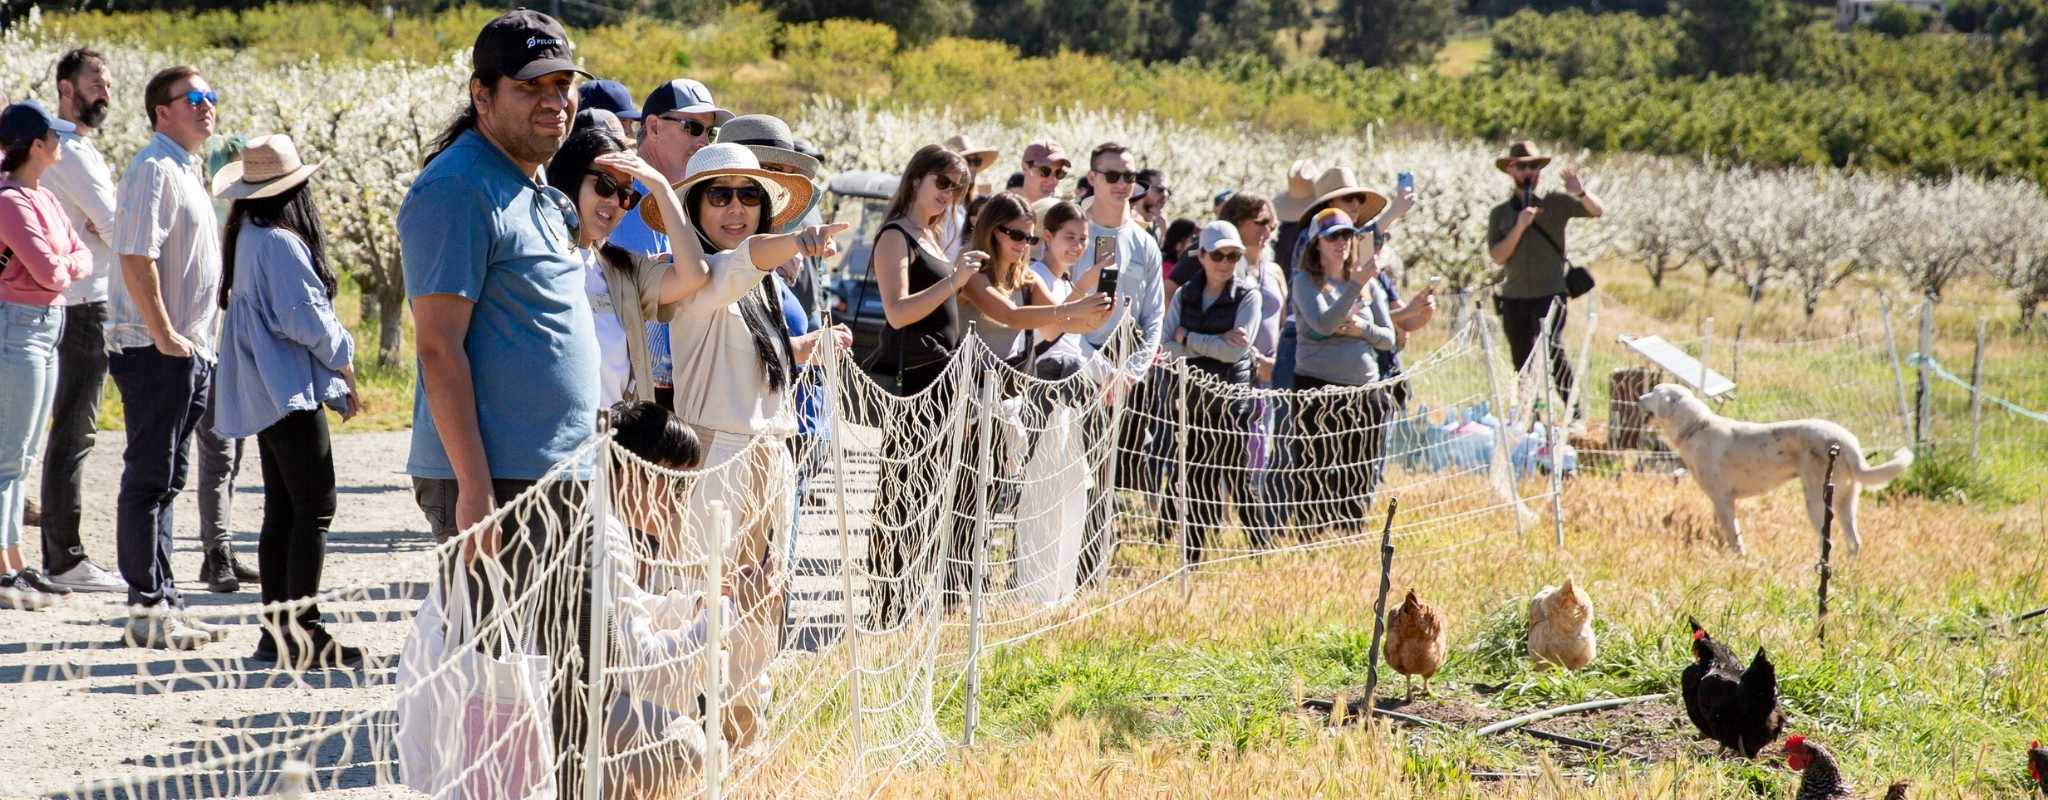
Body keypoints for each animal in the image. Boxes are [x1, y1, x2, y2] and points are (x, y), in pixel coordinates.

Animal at [1630, 384, 1916, 556]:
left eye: (1654, 391)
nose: (1638, 398)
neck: (1697, 426)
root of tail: (1848, 442)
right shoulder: (1721, 502)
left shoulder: (1723, 499)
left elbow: (1734, 536)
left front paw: (1738, 558)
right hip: (1847, 502)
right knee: (1854, 541)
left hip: (1817, 500)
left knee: (1828, 540)